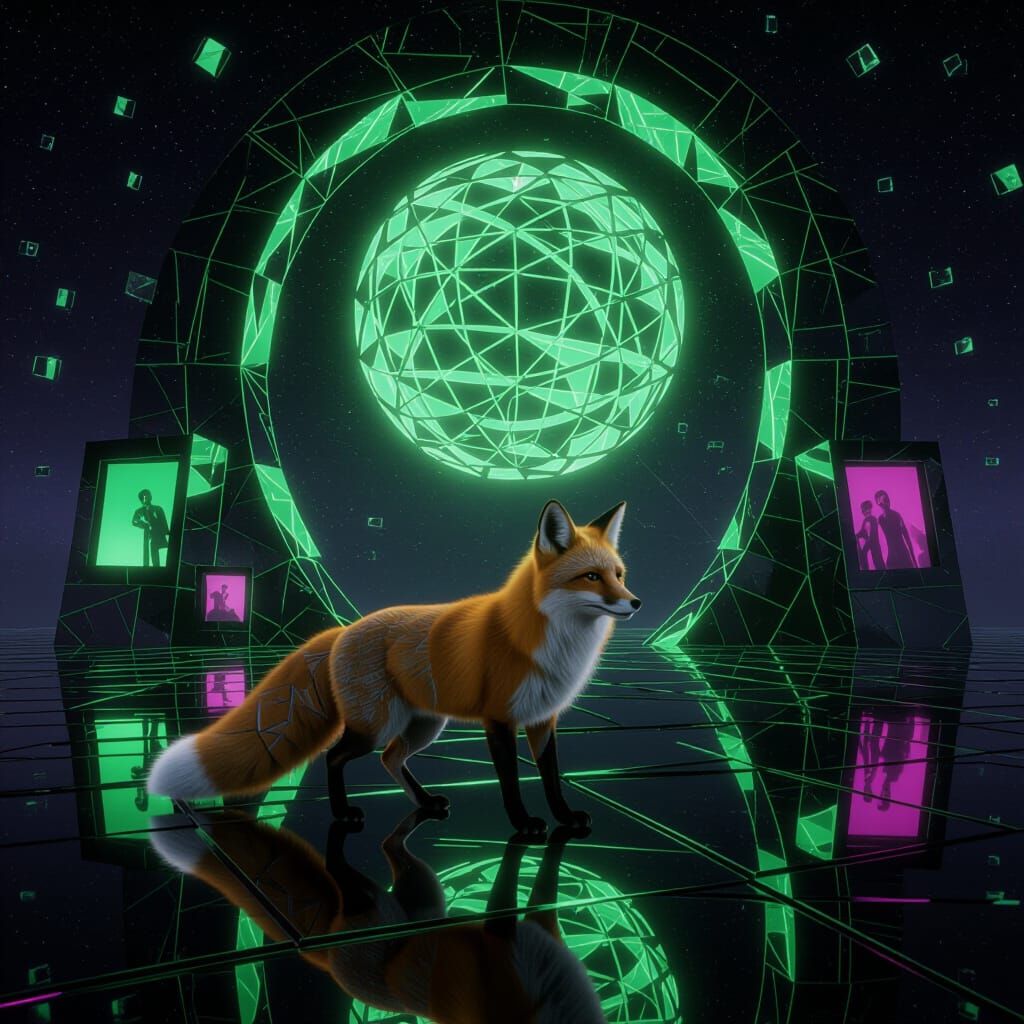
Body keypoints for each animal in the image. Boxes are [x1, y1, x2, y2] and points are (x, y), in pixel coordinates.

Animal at [147, 499, 640, 835]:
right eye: (591, 577)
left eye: (619, 574)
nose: (635, 602)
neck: (550, 641)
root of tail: (344, 629)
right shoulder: (499, 719)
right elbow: (511, 783)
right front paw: (523, 823)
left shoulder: (542, 719)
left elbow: (552, 779)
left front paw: (564, 817)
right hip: (376, 723)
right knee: (336, 755)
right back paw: (343, 813)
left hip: (423, 725)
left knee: (391, 758)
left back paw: (424, 804)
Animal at [150, 808, 606, 1023]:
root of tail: (326, 952)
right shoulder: (503, 940)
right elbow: (511, 874)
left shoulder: (543, 933)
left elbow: (546, 879)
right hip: (374, 894)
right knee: (354, 859)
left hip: (424, 889)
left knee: (391, 848)